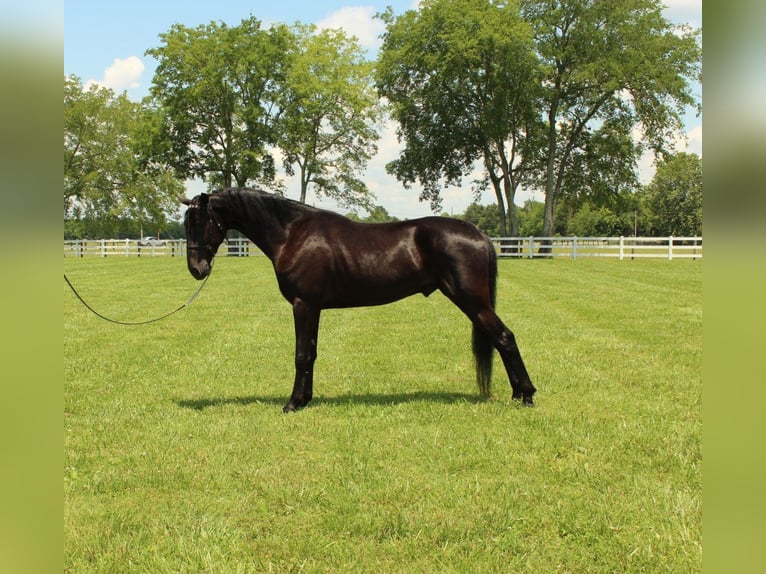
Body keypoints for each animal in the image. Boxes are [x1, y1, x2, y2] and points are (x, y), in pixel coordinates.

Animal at [183, 189, 536, 414]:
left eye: (200, 222)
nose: (196, 269)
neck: (292, 233)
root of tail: (479, 234)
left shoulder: (303, 304)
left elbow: (301, 354)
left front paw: (292, 404)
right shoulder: (314, 308)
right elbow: (311, 354)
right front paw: (306, 399)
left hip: (472, 301)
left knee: (505, 337)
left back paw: (527, 396)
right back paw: (518, 394)